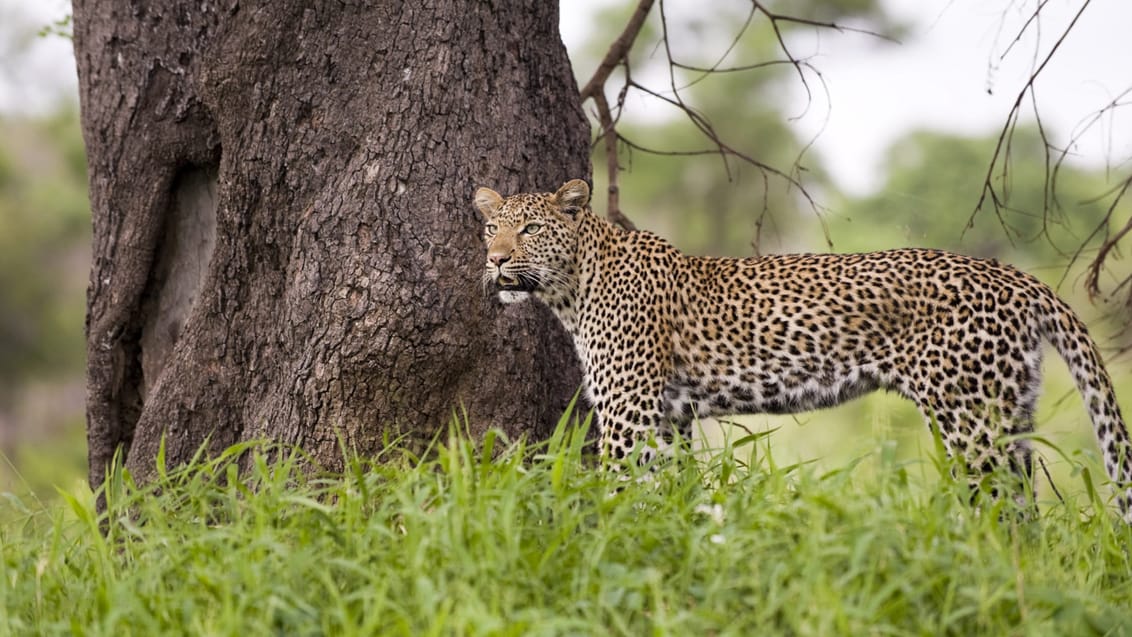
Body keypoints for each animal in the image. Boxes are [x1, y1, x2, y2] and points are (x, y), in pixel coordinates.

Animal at [470, 176, 1132, 520]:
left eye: (530, 228)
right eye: (491, 228)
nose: (496, 260)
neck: (571, 285)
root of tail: (1015, 275)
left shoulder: (629, 414)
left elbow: (617, 491)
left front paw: (611, 547)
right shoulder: (669, 420)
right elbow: (669, 496)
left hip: (971, 420)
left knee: (998, 509)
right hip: (1009, 414)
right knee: (1024, 508)